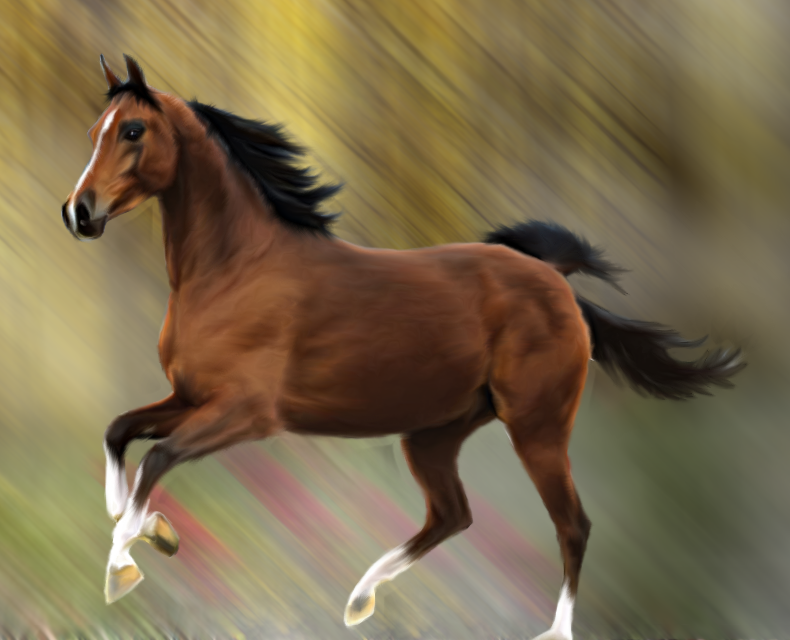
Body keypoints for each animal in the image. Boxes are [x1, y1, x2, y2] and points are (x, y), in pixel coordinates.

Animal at [61, 55, 744, 640]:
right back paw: (358, 601)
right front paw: (148, 528)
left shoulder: (247, 414)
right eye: (95, 129)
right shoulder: (189, 397)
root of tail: (553, 278)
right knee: (453, 514)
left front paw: (124, 565)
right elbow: (120, 432)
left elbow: (157, 457)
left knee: (571, 525)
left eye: (132, 130)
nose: (78, 213)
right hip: (435, 434)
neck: (235, 269)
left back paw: (550, 630)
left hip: (537, 426)